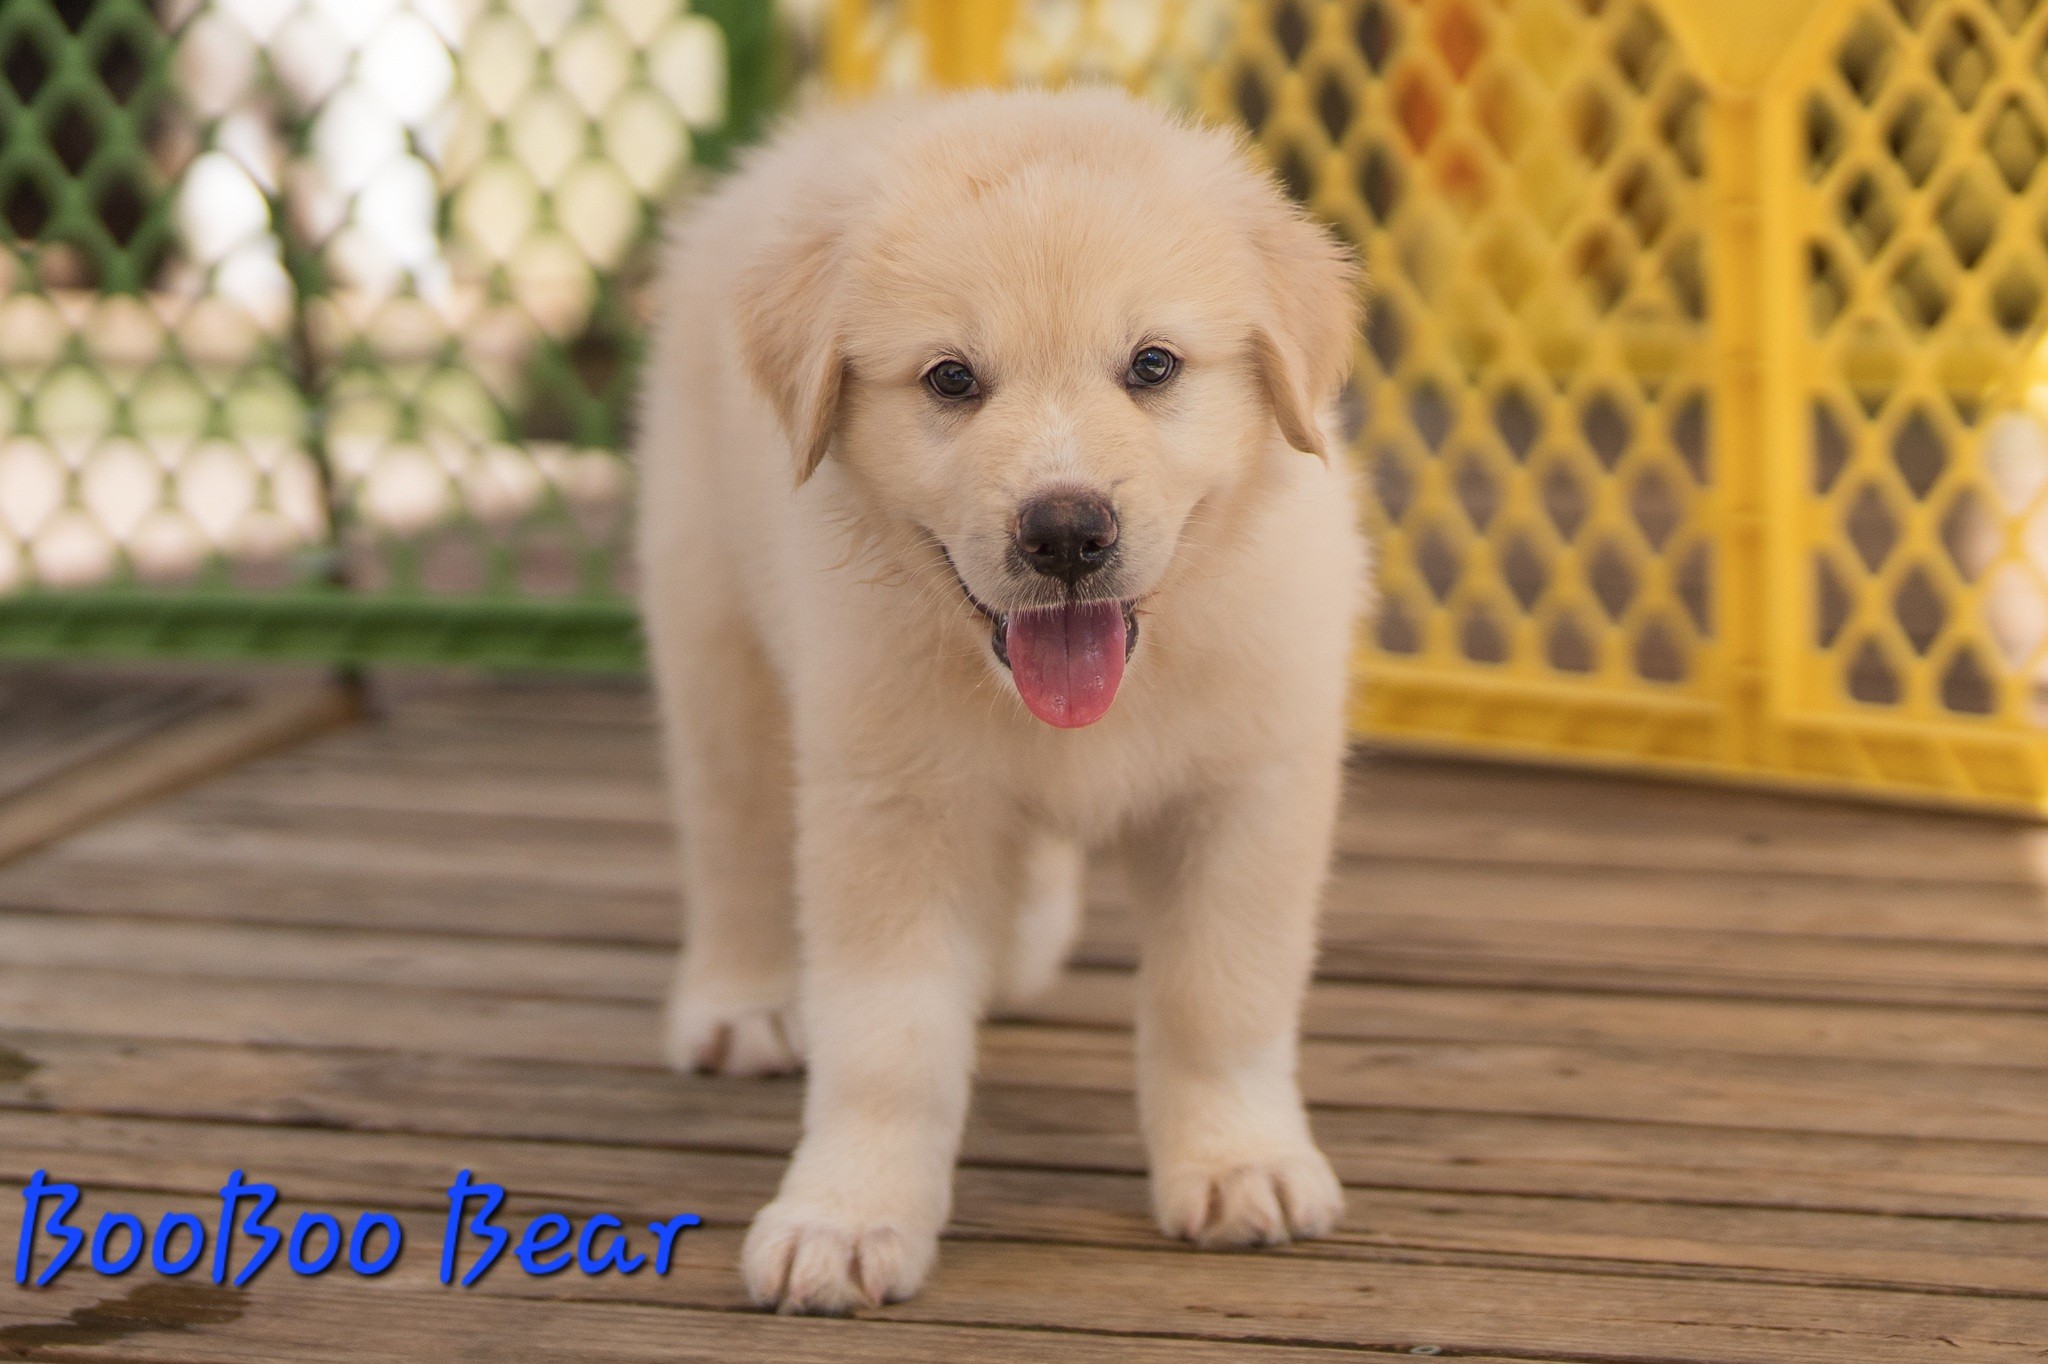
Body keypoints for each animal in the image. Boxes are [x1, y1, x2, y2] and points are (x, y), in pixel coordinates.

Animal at [635, 86, 1366, 1314]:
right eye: (950, 379)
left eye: (1153, 365)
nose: (1066, 531)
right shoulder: (891, 804)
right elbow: (889, 1042)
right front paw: (845, 1217)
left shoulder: (1246, 791)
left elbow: (1219, 994)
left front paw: (1238, 1162)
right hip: (713, 633)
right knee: (733, 839)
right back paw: (739, 1004)